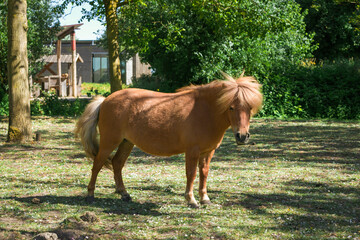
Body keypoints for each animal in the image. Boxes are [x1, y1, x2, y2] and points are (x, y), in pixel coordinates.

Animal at [75, 73, 262, 208]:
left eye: (249, 107)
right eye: (231, 107)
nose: (242, 136)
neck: (206, 111)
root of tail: (105, 100)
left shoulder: (208, 152)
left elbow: (204, 173)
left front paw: (205, 198)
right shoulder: (192, 151)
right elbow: (191, 174)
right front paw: (191, 200)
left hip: (127, 142)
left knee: (117, 163)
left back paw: (124, 193)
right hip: (110, 142)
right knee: (98, 164)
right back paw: (90, 195)